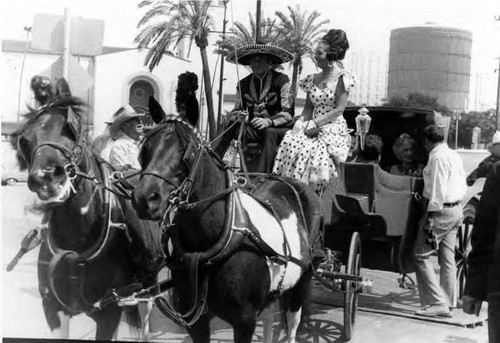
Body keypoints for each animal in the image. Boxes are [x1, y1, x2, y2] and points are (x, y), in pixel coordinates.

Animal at [12, 86, 163, 342]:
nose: (46, 177)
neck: (79, 239)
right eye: (25, 140)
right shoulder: (53, 308)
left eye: (71, 130)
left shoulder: (110, 312)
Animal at [132, 97, 320, 343]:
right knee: (270, 317)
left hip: (303, 279)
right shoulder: (197, 321)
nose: (144, 198)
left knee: (293, 323)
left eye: (186, 151)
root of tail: (293, 182)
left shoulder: (245, 321)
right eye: (145, 149)